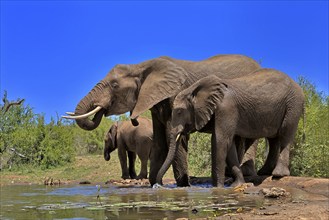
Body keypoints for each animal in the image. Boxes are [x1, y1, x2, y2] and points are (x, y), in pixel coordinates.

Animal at [158, 69, 304, 186]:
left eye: (179, 112)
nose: (158, 185)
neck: (194, 89)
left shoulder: (226, 108)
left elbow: (220, 141)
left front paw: (218, 188)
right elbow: (229, 144)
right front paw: (237, 184)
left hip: (293, 104)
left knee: (285, 135)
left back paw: (278, 174)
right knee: (273, 139)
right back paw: (265, 172)